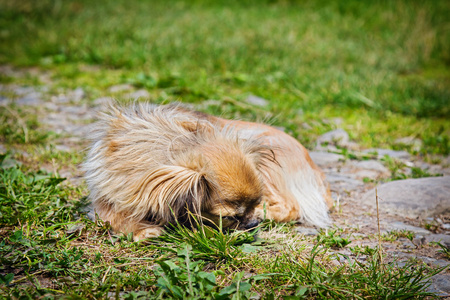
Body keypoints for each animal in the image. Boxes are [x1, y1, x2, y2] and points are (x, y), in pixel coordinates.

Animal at [82, 103, 332, 241]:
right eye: (229, 217)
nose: (252, 224)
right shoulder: (103, 197)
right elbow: (113, 216)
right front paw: (143, 231)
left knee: (292, 207)